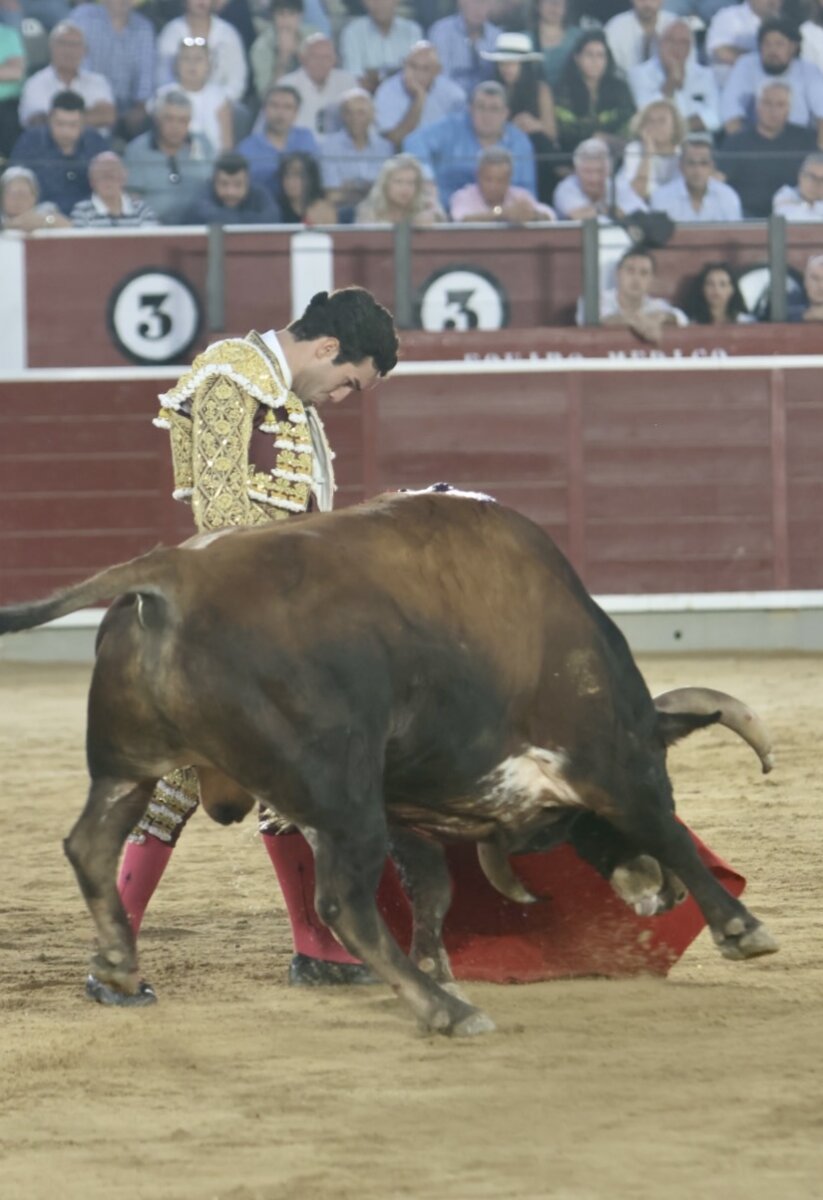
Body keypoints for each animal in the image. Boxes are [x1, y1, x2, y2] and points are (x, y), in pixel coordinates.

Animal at [0, 491, 778, 1036]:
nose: (661, 901)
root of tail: (172, 570)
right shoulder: (610, 759)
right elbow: (666, 828)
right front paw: (741, 928)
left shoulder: (407, 806)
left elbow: (432, 891)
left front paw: (441, 967)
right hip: (337, 790)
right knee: (341, 900)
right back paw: (444, 1013)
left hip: (129, 766)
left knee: (92, 845)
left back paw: (118, 966)